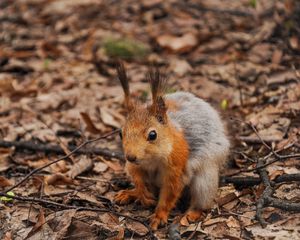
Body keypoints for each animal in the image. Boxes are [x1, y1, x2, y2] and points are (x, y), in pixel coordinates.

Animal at [113, 62, 230, 230]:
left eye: (152, 135)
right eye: (120, 134)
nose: (130, 156)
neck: (151, 159)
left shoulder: (176, 169)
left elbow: (169, 194)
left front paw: (159, 216)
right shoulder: (133, 166)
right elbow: (137, 177)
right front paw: (142, 193)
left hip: (205, 179)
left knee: (202, 200)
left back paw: (191, 213)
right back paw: (131, 193)